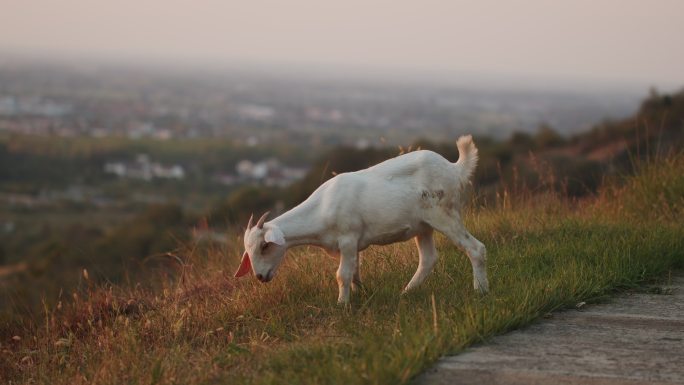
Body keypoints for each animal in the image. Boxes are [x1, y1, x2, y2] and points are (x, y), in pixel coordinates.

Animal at [234, 135, 486, 304]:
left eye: (265, 246)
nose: (260, 276)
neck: (322, 207)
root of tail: (455, 168)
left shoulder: (348, 238)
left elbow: (342, 274)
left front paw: (341, 305)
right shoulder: (351, 246)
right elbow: (354, 273)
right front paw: (360, 294)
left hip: (445, 214)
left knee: (476, 248)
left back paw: (480, 291)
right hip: (423, 226)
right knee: (428, 259)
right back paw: (406, 292)